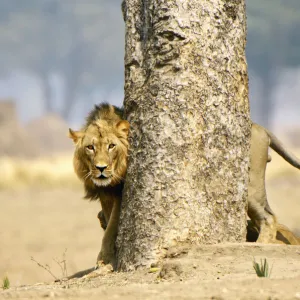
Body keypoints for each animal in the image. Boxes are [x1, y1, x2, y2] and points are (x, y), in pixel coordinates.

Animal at [68, 103, 129, 270]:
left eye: (111, 146)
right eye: (90, 147)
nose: (101, 168)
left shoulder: (120, 193)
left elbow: (112, 225)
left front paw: (104, 258)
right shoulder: (105, 194)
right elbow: (108, 220)